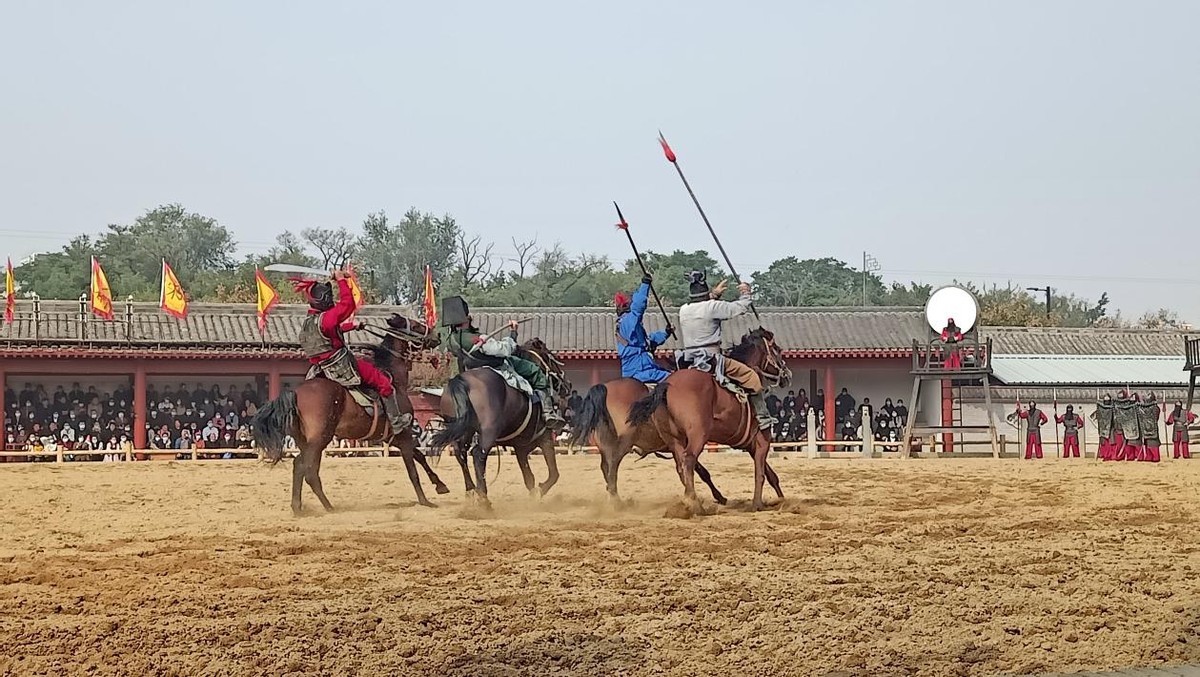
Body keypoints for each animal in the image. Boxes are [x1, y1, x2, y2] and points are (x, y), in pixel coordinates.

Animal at [248, 314, 451, 516]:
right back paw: (321, 507)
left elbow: (420, 457)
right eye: (416, 325)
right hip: (319, 439)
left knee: (305, 469)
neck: (395, 379)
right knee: (305, 468)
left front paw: (440, 485)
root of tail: (296, 393)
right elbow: (413, 470)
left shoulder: (394, 438)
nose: (437, 336)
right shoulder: (404, 434)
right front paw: (425, 501)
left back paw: (307, 506)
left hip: (306, 441)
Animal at [432, 338, 571, 501]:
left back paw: (471, 490)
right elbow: (554, 473)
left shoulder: (520, 447)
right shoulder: (545, 438)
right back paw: (483, 498)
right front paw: (541, 490)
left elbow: (529, 478)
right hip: (488, 432)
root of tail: (461, 380)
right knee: (478, 454)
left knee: (461, 453)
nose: (567, 384)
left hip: (463, 431)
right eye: (550, 357)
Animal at [624, 328, 792, 513]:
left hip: (674, 439)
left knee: (681, 466)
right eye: (777, 349)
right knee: (689, 461)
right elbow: (760, 473)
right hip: (698, 435)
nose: (787, 375)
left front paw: (781, 499)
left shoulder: (750, 444)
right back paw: (696, 505)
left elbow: (770, 474)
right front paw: (757, 504)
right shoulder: (763, 440)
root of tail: (666, 385)